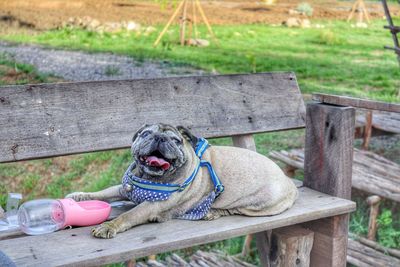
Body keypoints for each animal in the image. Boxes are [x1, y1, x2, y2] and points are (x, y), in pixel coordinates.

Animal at [66, 123, 296, 239]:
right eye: (145, 134)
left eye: (176, 140)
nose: (160, 138)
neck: (149, 177)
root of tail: (289, 182)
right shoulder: (125, 189)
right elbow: (104, 192)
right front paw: (79, 196)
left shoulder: (150, 206)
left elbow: (129, 215)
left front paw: (109, 226)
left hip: (255, 204)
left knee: (234, 209)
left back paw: (211, 213)